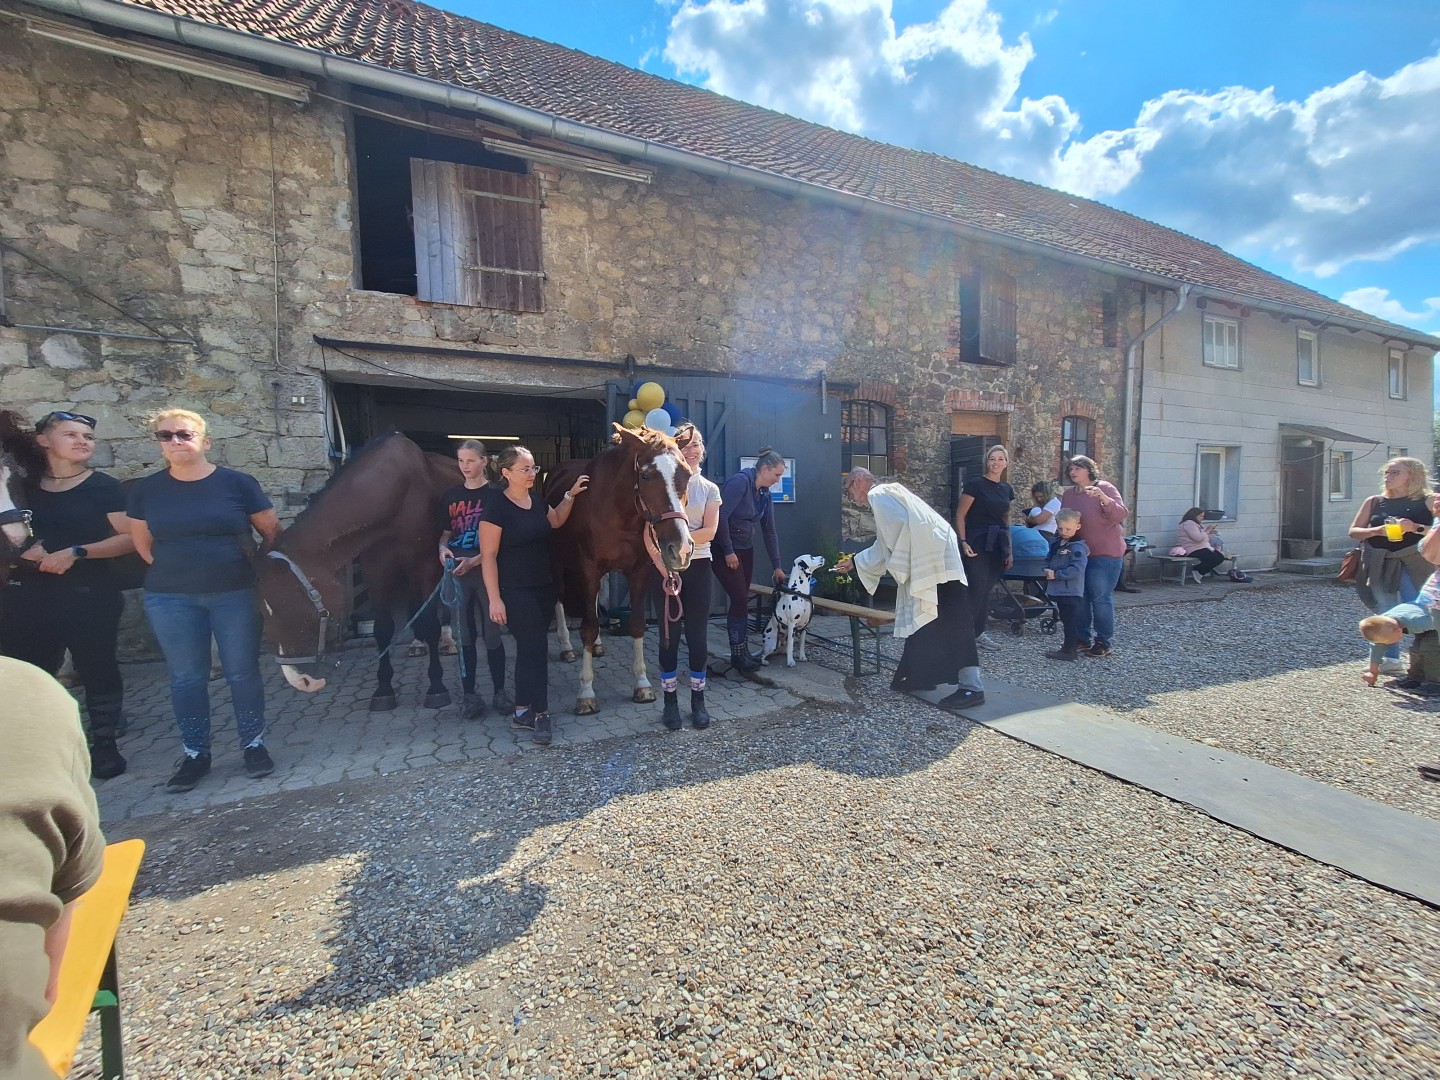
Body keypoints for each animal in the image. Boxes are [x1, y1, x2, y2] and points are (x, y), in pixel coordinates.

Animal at [256, 434, 457, 714]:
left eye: (289, 606)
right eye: (263, 613)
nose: (300, 680)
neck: (397, 491)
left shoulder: (428, 564)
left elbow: (430, 623)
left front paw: (437, 688)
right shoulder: (376, 569)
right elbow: (382, 628)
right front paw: (383, 691)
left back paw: (448, 641)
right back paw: (417, 644)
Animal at [541, 426, 694, 720]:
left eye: (687, 474)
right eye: (645, 475)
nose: (680, 549)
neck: (617, 511)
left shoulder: (639, 571)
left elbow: (636, 624)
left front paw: (642, 684)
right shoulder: (589, 568)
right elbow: (588, 627)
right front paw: (586, 693)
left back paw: (598, 646)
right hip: (556, 561)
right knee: (560, 597)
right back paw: (566, 647)